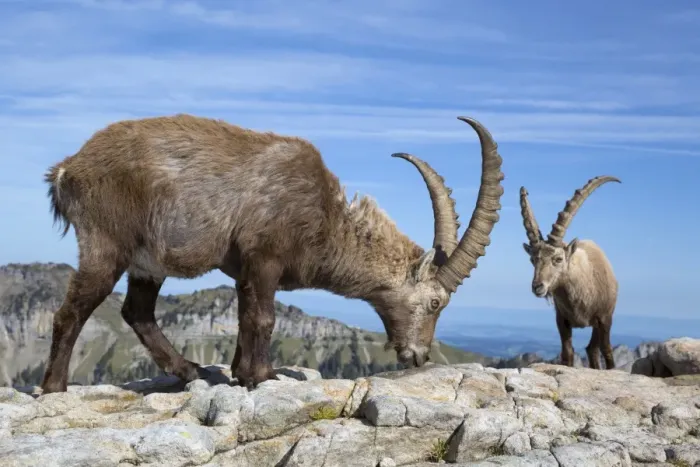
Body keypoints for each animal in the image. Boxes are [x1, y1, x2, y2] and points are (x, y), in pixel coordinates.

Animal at [40, 113, 505, 393]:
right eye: (436, 302)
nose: (419, 355)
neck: (326, 218)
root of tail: (67, 170)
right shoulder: (265, 257)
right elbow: (264, 318)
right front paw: (264, 375)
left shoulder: (245, 272)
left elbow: (245, 318)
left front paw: (241, 373)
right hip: (106, 245)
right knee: (71, 311)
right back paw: (54, 387)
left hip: (147, 261)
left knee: (136, 310)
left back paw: (190, 370)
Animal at [519, 176, 620, 369]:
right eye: (533, 260)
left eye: (558, 259)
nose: (537, 287)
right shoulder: (562, 320)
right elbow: (567, 353)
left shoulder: (605, 318)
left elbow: (607, 351)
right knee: (591, 349)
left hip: (599, 323)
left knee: (594, 349)